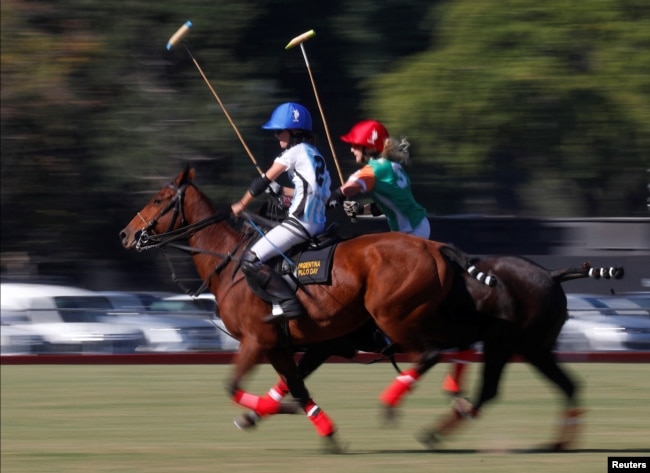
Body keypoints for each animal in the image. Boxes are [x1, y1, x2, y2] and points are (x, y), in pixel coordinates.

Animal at [120, 166, 486, 450]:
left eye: (158, 199)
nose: (126, 234)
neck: (231, 264)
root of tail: (435, 248)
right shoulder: (289, 344)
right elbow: (295, 385)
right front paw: (319, 430)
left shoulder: (257, 340)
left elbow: (236, 386)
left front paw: (269, 411)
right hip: (427, 318)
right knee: (461, 346)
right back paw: (452, 408)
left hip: (394, 317)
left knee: (433, 353)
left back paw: (398, 405)